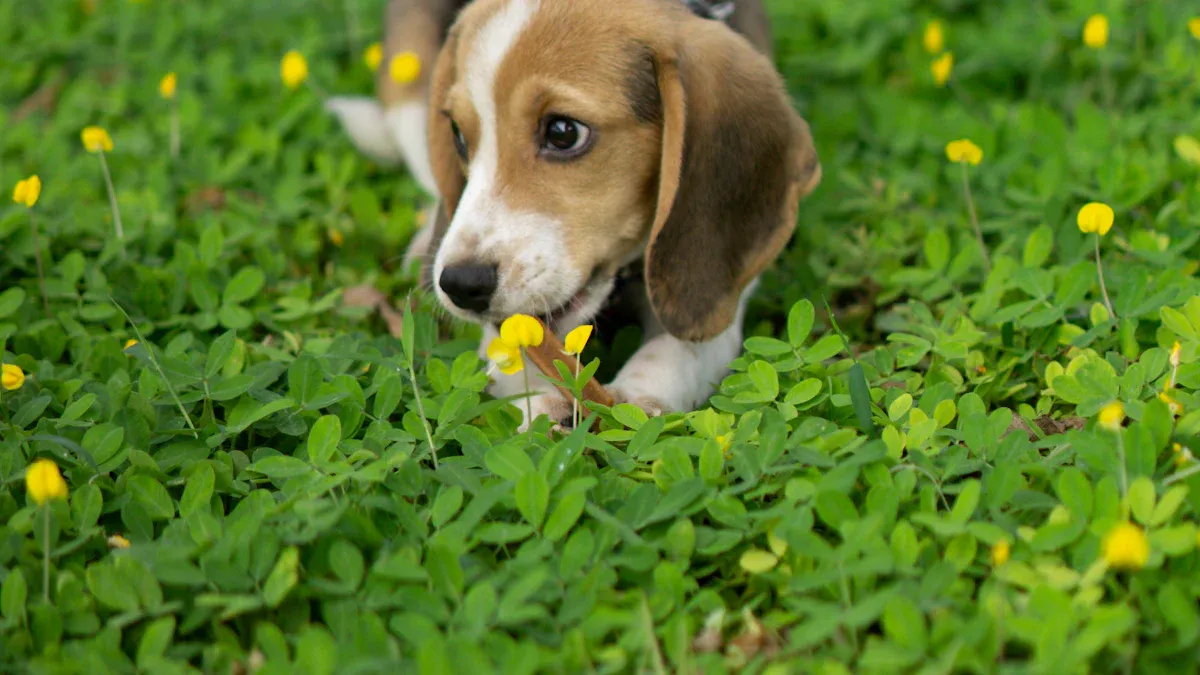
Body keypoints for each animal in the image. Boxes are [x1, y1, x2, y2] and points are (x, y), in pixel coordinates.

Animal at [333, 0, 820, 425]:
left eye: (564, 132)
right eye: (457, 135)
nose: (460, 285)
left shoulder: (719, 301)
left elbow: (681, 347)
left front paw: (638, 397)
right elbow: (509, 344)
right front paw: (537, 402)